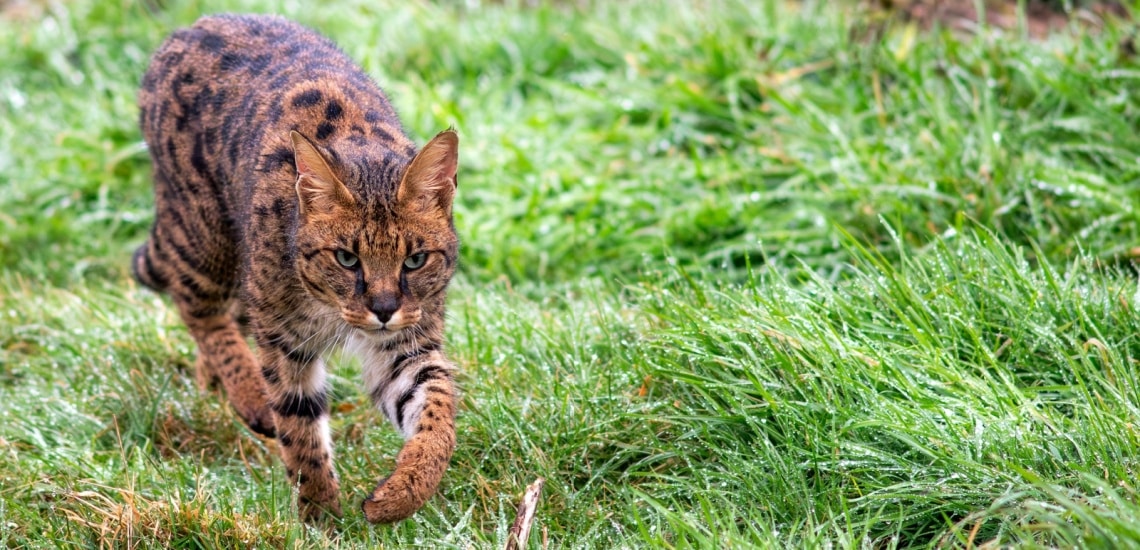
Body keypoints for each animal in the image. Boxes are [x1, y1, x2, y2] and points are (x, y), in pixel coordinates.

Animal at [130, 11, 458, 520]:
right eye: (346, 258)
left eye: (415, 260)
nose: (383, 309)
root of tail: (196, 23)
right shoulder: (286, 341)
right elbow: (300, 430)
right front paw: (321, 517)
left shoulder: (406, 342)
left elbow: (438, 412)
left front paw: (403, 493)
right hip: (204, 232)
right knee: (197, 305)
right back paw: (247, 391)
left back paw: (214, 379)